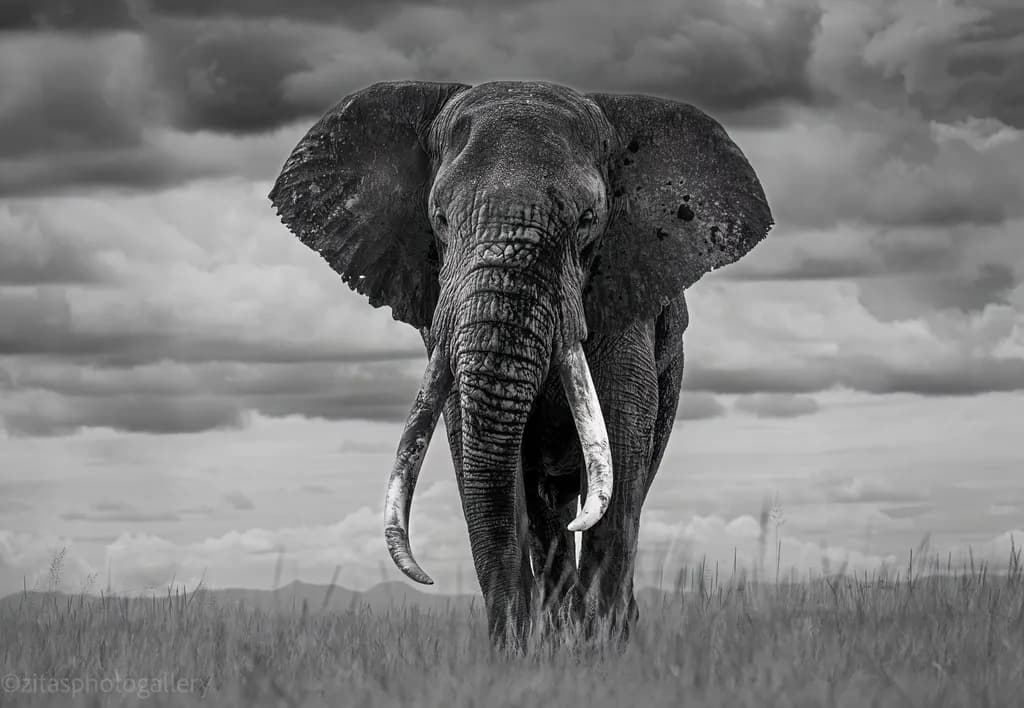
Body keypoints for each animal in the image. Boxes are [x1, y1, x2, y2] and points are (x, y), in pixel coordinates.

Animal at [269, 80, 772, 650]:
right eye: (440, 220)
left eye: (587, 222)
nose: (424, 577)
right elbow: (484, 465)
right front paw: (516, 655)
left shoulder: (627, 303)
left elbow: (620, 447)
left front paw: (597, 652)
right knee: (547, 509)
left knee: (630, 488)